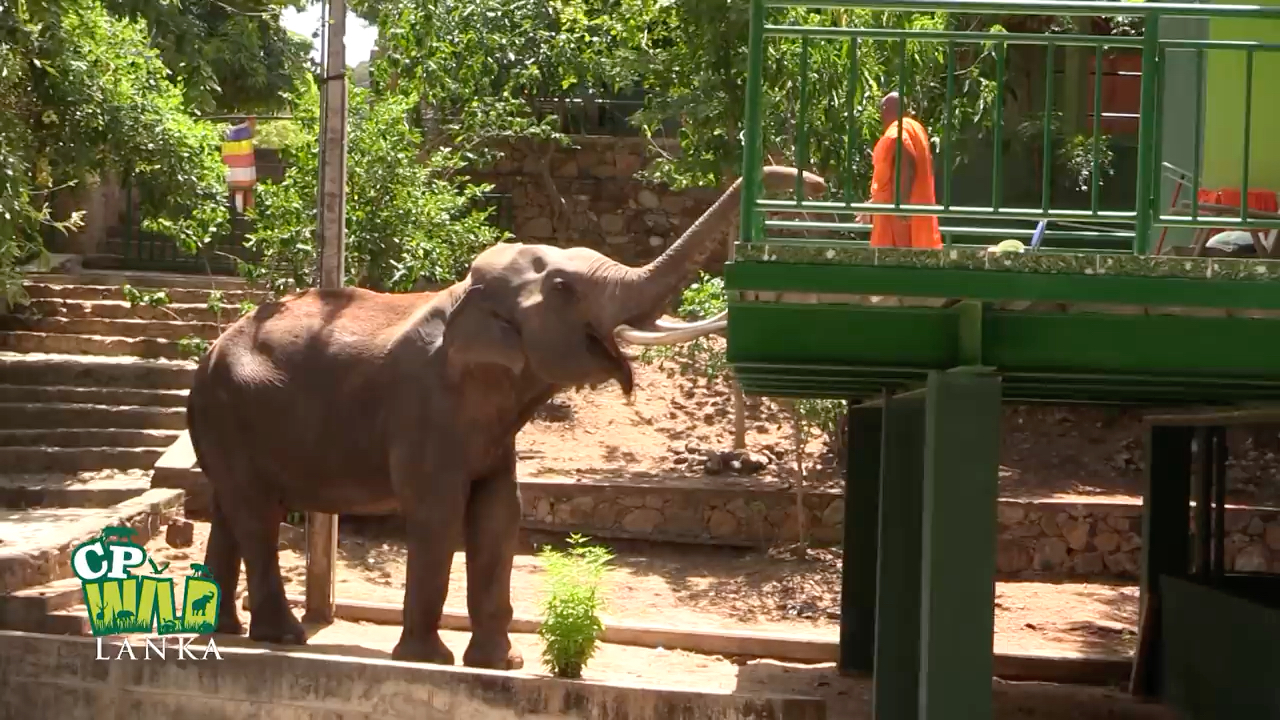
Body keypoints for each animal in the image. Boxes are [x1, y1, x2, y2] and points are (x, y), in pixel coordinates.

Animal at [186, 162, 829, 666]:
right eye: (565, 287)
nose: (817, 181)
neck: (463, 295)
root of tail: (211, 349)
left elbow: (501, 514)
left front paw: (503, 665)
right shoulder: (427, 409)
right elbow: (440, 512)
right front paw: (430, 660)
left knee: (229, 509)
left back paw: (221, 632)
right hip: (226, 409)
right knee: (257, 512)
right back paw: (284, 638)